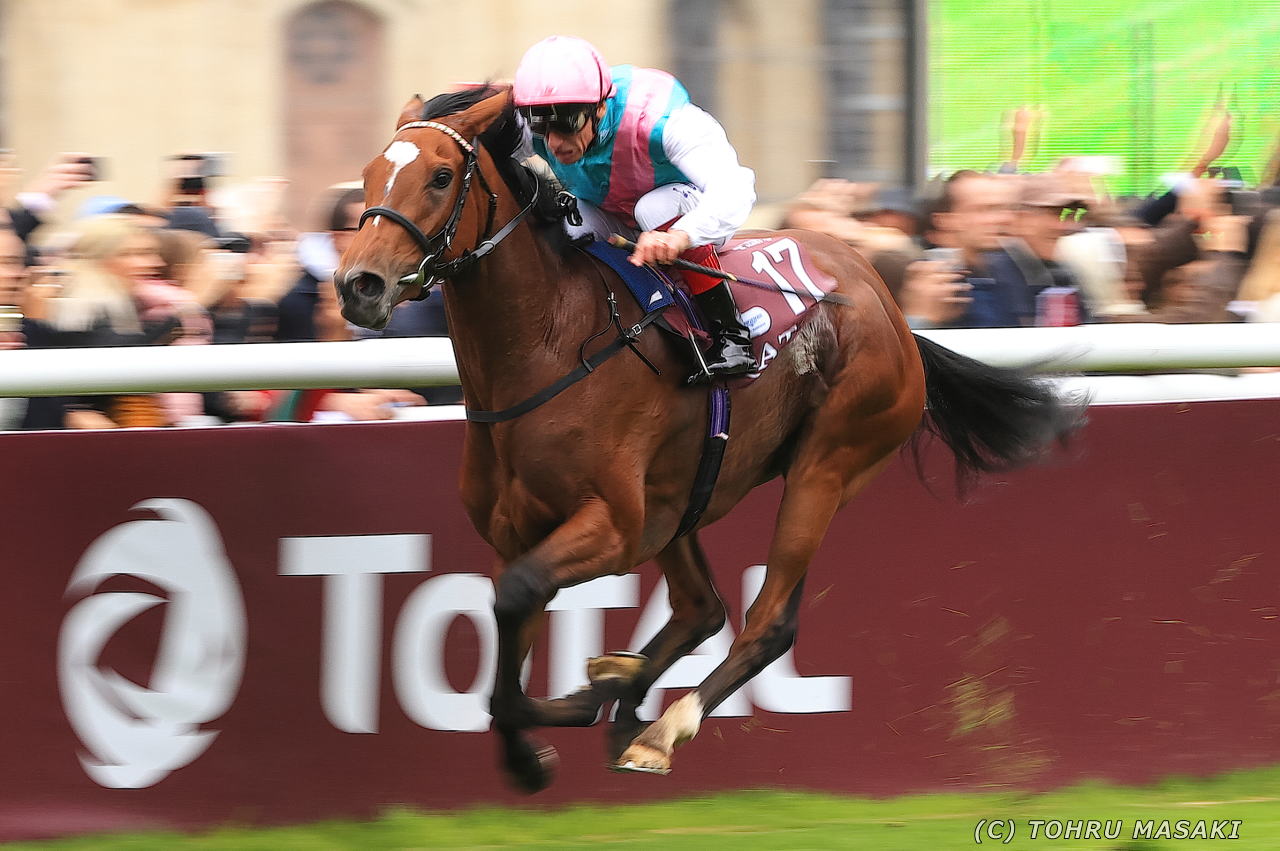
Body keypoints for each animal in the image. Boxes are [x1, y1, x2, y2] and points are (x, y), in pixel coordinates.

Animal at [335, 84, 1080, 793]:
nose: (357, 284)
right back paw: (620, 687)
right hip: (681, 499)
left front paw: (549, 740)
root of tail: (887, 303)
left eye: (439, 176)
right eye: (369, 174)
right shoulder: (520, 532)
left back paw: (660, 729)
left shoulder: (613, 527)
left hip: (824, 468)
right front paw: (559, 724)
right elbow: (510, 632)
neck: (550, 345)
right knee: (701, 608)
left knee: (767, 620)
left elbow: (516, 605)